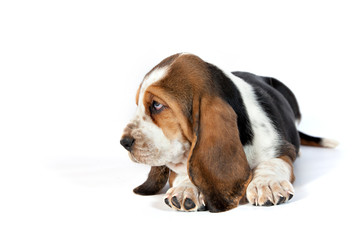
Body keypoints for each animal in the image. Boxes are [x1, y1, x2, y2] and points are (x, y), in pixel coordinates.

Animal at [120, 53, 338, 213]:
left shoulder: (284, 149)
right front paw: (186, 188)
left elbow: (273, 162)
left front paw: (267, 183)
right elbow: (184, 170)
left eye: (157, 105)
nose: (124, 142)